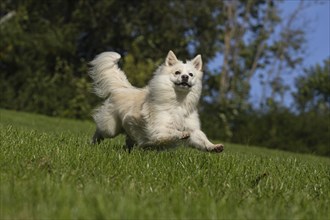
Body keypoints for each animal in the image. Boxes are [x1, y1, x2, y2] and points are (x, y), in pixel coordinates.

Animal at [89, 50, 224, 153]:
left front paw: (214, 146)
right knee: (100, 130)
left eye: (191, 74)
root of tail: (122, 88)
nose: (185, 77)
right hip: (111, 128)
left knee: (129, 140)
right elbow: (171, 131)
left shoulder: (193, 129)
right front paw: (181, 134)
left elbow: (202, 139)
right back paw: (93, 143)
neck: (179, 102)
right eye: (177, 72)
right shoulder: (158, 130)